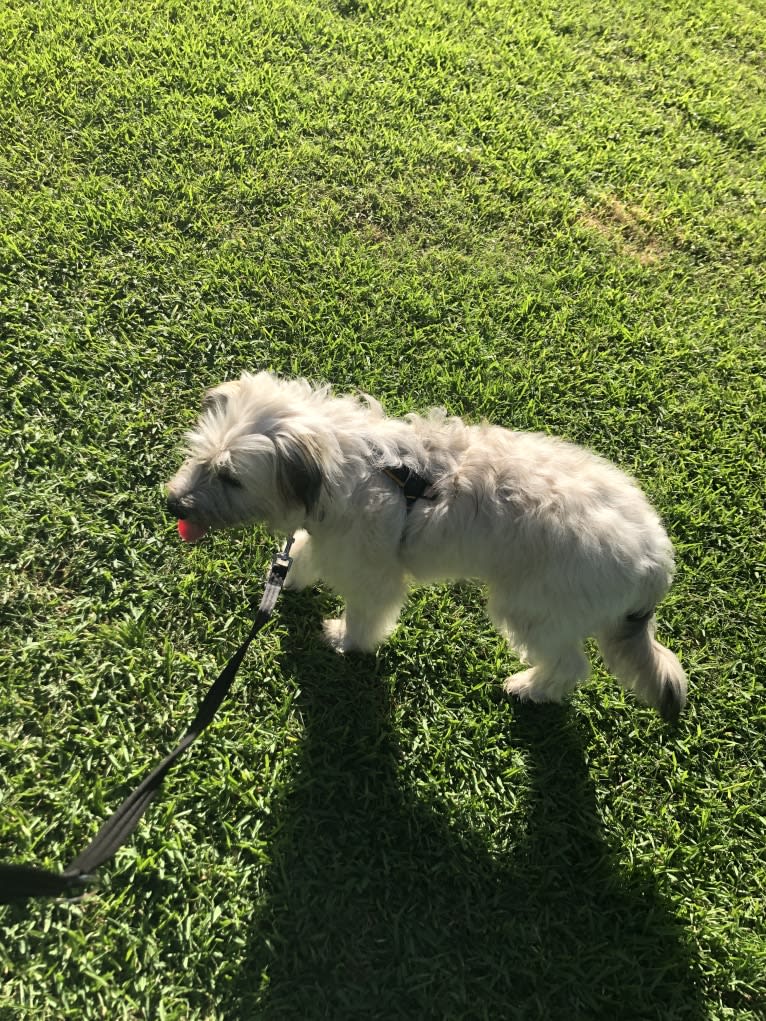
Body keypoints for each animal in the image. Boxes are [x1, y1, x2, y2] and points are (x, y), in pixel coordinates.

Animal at [167, 373, 690, 718]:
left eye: (231, 477)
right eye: (199, 456)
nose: (172, 505)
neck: (347, 464)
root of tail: (655, 558)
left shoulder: (373, 573)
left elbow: (365, 614)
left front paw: (345, 641)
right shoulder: (330, 533)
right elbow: (304, 553)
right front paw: (288, 578)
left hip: (533, 606)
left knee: (570, 665)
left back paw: (529, 688)